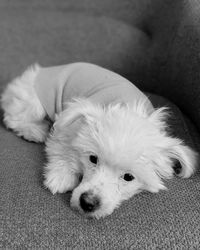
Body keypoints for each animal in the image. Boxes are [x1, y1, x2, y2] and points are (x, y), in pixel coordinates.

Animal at [0, 62, 198, 219]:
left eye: (128, 177)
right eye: (93, 159)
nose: (87, 203)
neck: (126, 105)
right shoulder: (65, 128)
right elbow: (63, 150)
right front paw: (61, 176)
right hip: (33, 101)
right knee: (14, 118)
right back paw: (35, 130)